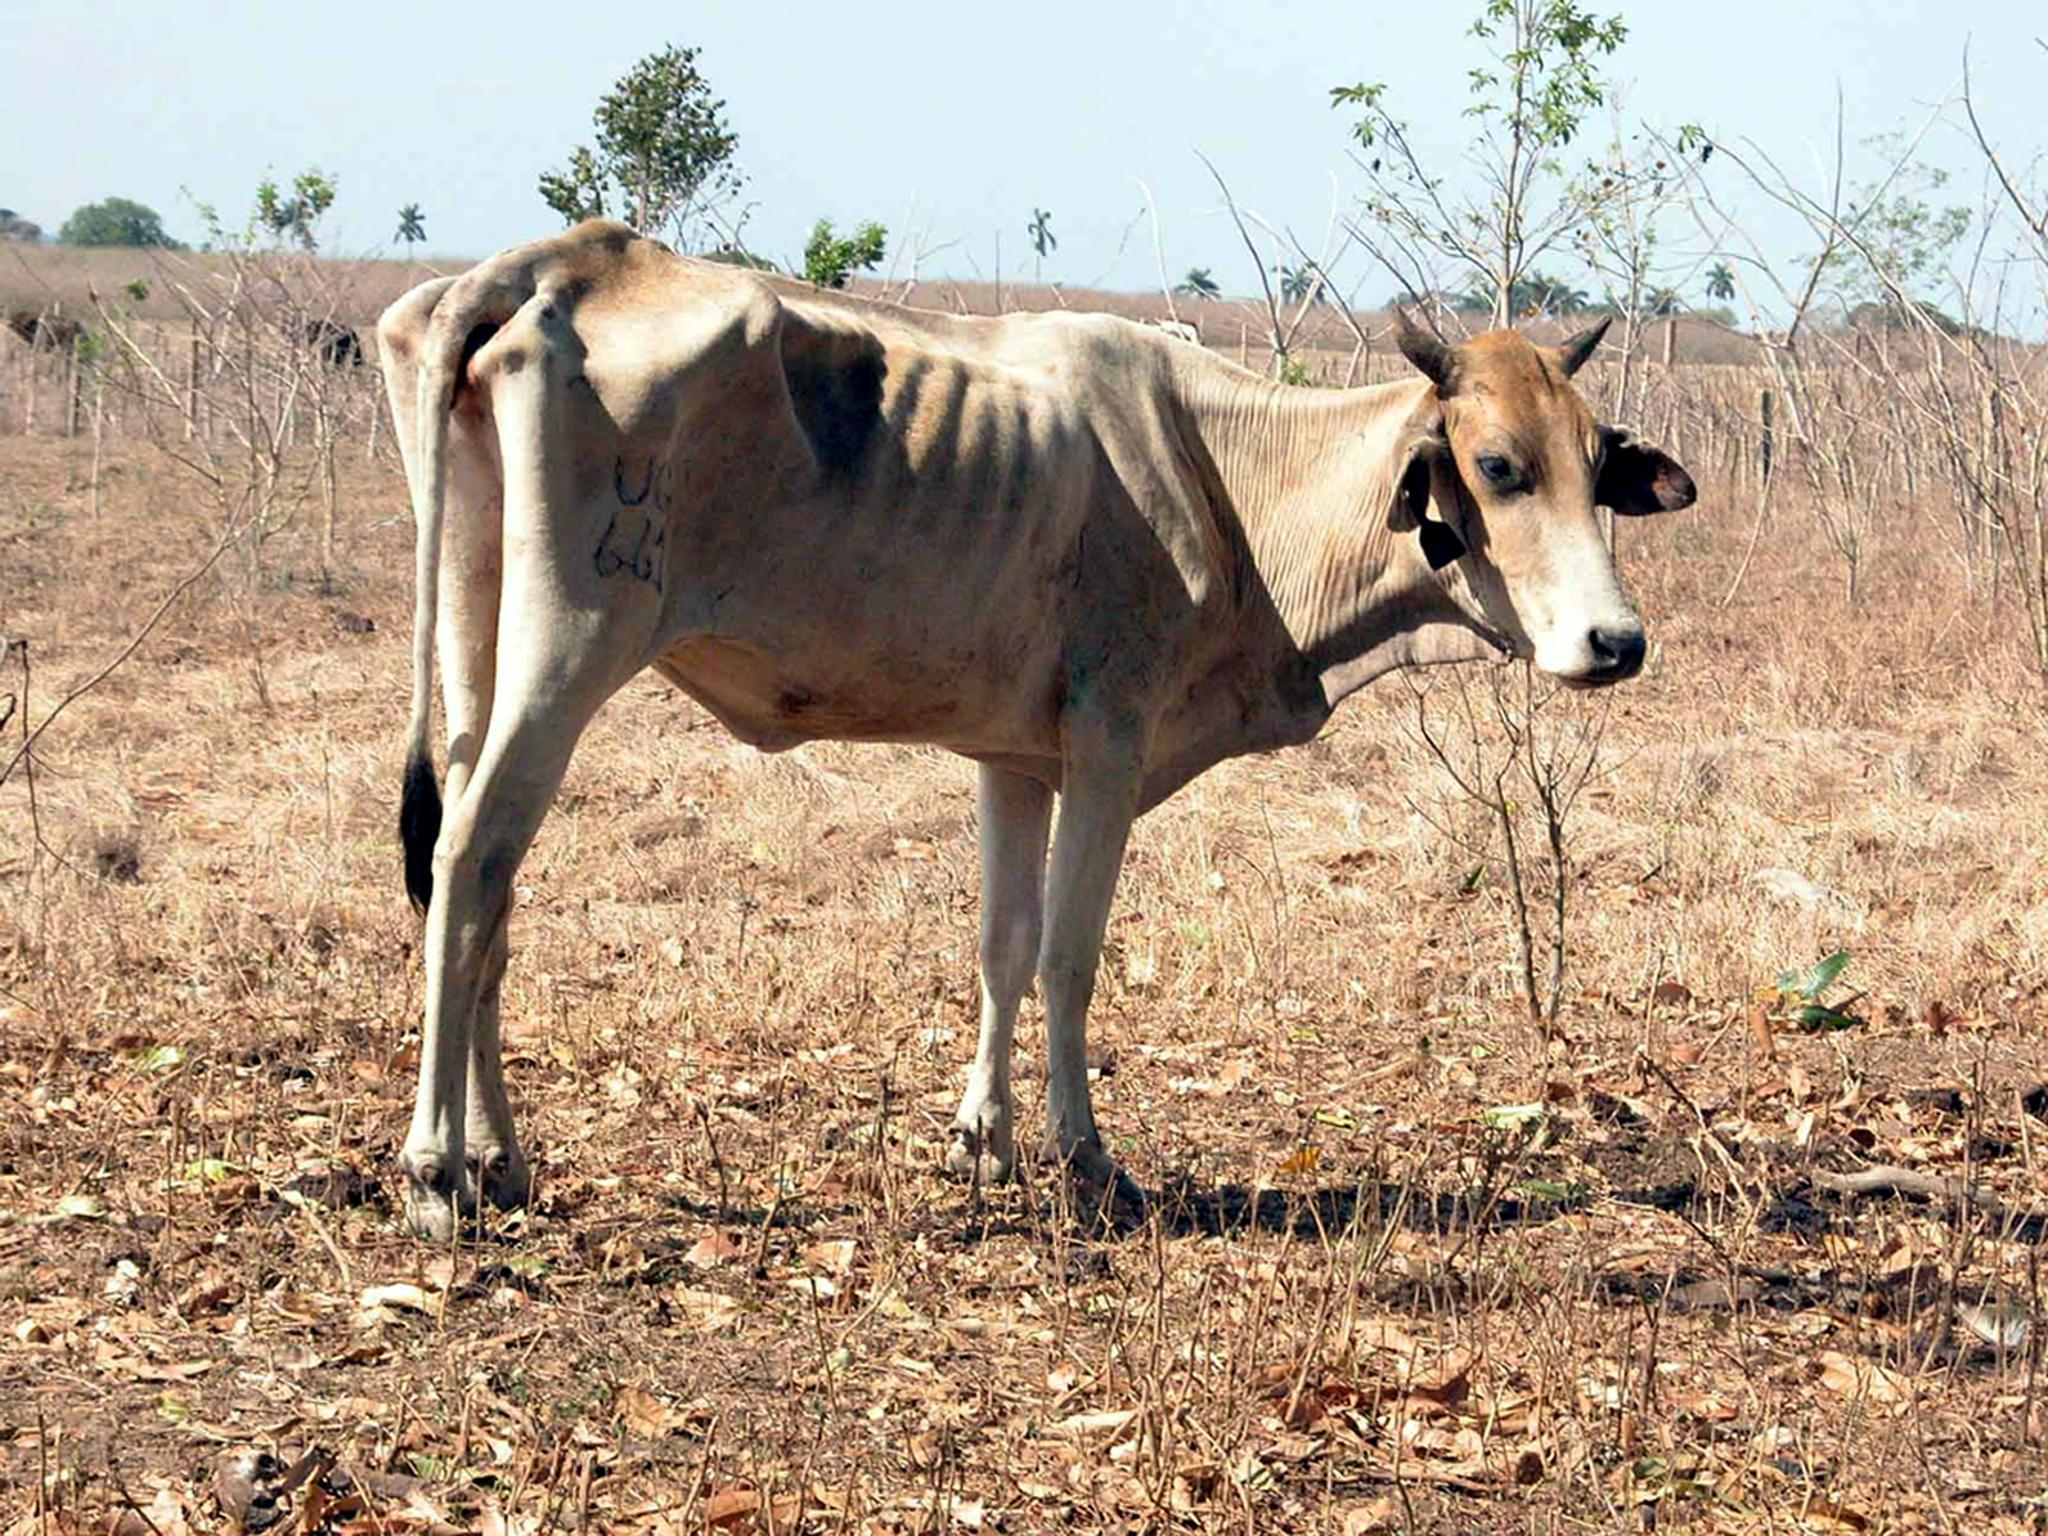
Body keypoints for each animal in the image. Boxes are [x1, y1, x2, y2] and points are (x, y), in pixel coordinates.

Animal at [376, 222, 1687, 1245]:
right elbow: (1068, 954)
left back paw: (501, 1161)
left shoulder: (1011, 761)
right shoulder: (1109, 745)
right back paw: (437, 1171)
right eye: (1495, 466)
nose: (1613, 642)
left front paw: (985, 1142)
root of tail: (551, 263)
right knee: (467, 860)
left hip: (480, 647)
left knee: (483, 883)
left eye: (1598, 466)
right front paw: (1084, 1159)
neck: (1227, 472)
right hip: (570, 650)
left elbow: (1000, 948)